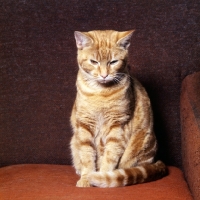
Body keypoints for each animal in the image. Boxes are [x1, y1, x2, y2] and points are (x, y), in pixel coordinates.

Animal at [70, 29, 167, 188]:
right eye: (94, 62)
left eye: (113, 62)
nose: (104, 75)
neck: (100, 93)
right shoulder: (85, 125)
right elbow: (87, 154)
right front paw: (86, 178)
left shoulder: (118, 125)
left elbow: (110, 156)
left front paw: (101, 176)